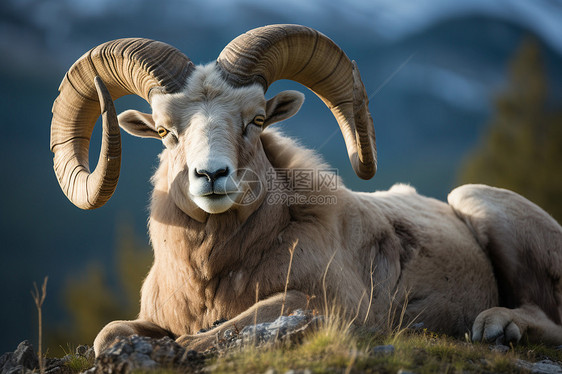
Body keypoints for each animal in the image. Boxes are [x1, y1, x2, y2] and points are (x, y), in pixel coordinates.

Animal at [49, 24, 560, 356]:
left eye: (256, 120)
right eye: (164, 131)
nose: (212, 176)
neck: (213, 278)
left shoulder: (325, 306)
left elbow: (209, 336)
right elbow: (108, 335)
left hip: (479, 204)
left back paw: (496, 326)